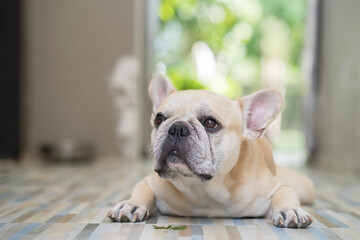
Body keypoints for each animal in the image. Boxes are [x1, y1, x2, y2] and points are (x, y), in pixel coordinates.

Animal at [107, 73, 316, 229]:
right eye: (159, 119)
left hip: (305, 187)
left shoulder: (276, 186)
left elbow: (285, 193)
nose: (177, 128)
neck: (204, 189)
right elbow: (141, 190)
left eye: (210, 123)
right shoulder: (150, 182)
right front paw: (131, 204)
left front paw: (290, 209)